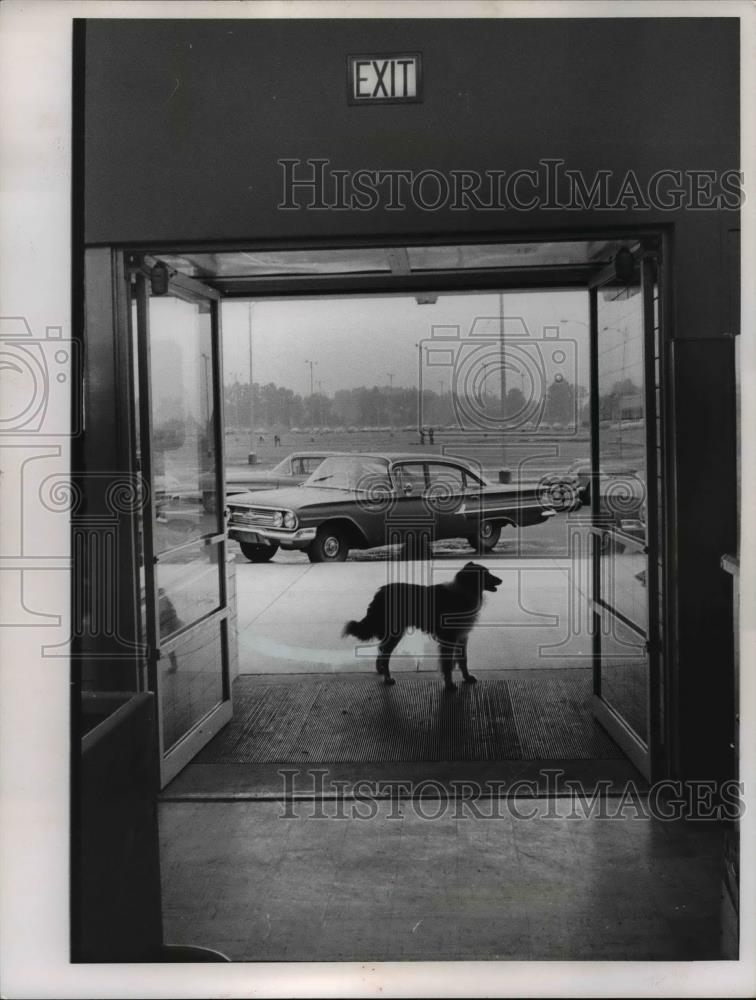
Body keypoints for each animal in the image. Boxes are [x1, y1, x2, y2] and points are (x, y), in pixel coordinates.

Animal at [344, 564, 502, 696]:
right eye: (486, 574)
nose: (501, 580)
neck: (464, 591)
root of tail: (380, 592)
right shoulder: (449, 638)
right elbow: (447, 665)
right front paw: (449, 685)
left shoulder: (462, 636)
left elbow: (463, 660)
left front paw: (467, 677)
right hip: (395, 632)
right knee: (385, 654)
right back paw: (388, 679)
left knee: (382, 650)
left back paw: (381, 670)